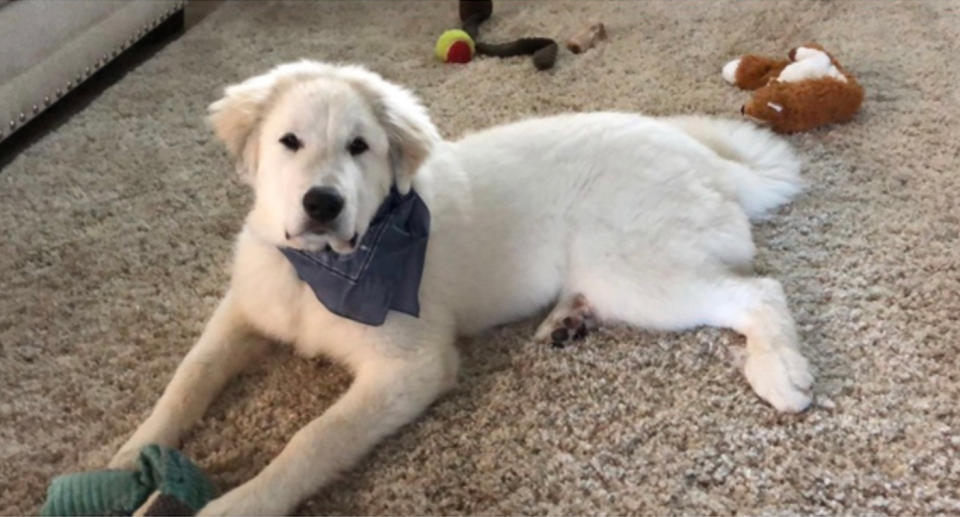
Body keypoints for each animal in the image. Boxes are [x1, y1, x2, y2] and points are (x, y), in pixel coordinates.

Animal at [114, 59, 816, 512]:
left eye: (360, 147)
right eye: (290, 141)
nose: (322, 204)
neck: (325, 270)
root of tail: (710, 160)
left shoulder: (411, 365)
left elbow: (314, 439)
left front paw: (239, 503)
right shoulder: (245, 308)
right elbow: (190, 375)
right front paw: (126, 455)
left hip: (632, 268)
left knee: (759, 292)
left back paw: (780, 373)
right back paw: (567, 319)